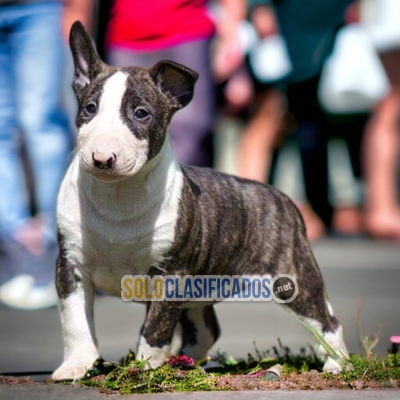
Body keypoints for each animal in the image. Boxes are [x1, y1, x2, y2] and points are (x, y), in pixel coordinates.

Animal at [52, 21, 346, 382]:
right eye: (89, 108)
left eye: (141, 114)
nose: (102, 158)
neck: (118, 195)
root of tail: (282, 198)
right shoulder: (71, 268)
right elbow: (75, 323)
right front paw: (76, 366)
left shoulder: (170, 273)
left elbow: (156, 328)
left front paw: (144, 369)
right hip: (199, 289)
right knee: (207, 330)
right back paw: (185, 362)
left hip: (292, 277)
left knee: (326, 319)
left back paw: (338, 364)